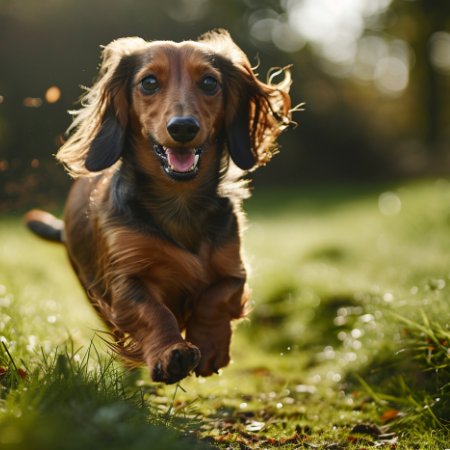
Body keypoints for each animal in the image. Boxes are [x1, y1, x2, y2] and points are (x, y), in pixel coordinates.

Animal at [24, 30, 292, 384]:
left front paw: (210, 347)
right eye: (149, 82)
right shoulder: (124, 280)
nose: (183, 127)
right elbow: (153, 312)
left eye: (209, 83)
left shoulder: (234, 269)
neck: (178, 201)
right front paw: (171, 353)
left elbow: (215, 299)